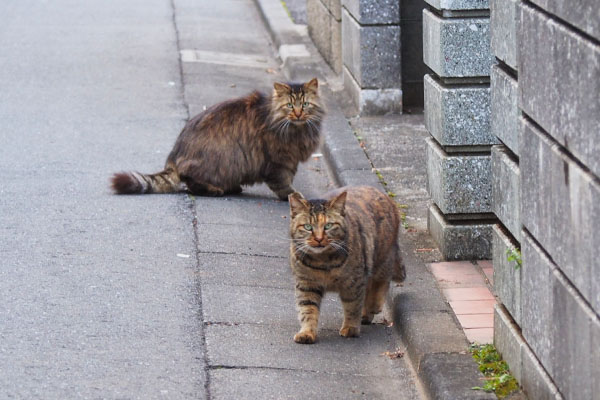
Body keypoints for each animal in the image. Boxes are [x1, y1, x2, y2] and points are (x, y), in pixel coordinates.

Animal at [108, 78, 324, 200]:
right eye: (289, 105)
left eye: (305, 105)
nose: (298, 114)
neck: (298, 130)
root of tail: (173, 157)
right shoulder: (279, 162)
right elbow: (283, 183)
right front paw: (292, 197)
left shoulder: (291, 159)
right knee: (190, 182)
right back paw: (216, 189)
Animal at [288, 186, 406, 342]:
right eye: (308, 227)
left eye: (328, 226)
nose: (319, 239)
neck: (322, 261)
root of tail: (383, 194)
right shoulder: (307, 284)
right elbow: (308, 310)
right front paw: (307, 332)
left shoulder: (353, 283)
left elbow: (352, 306)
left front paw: (350, 327)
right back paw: (366, 313)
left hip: (381, 257)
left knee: (381, 282)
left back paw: (373, 305)